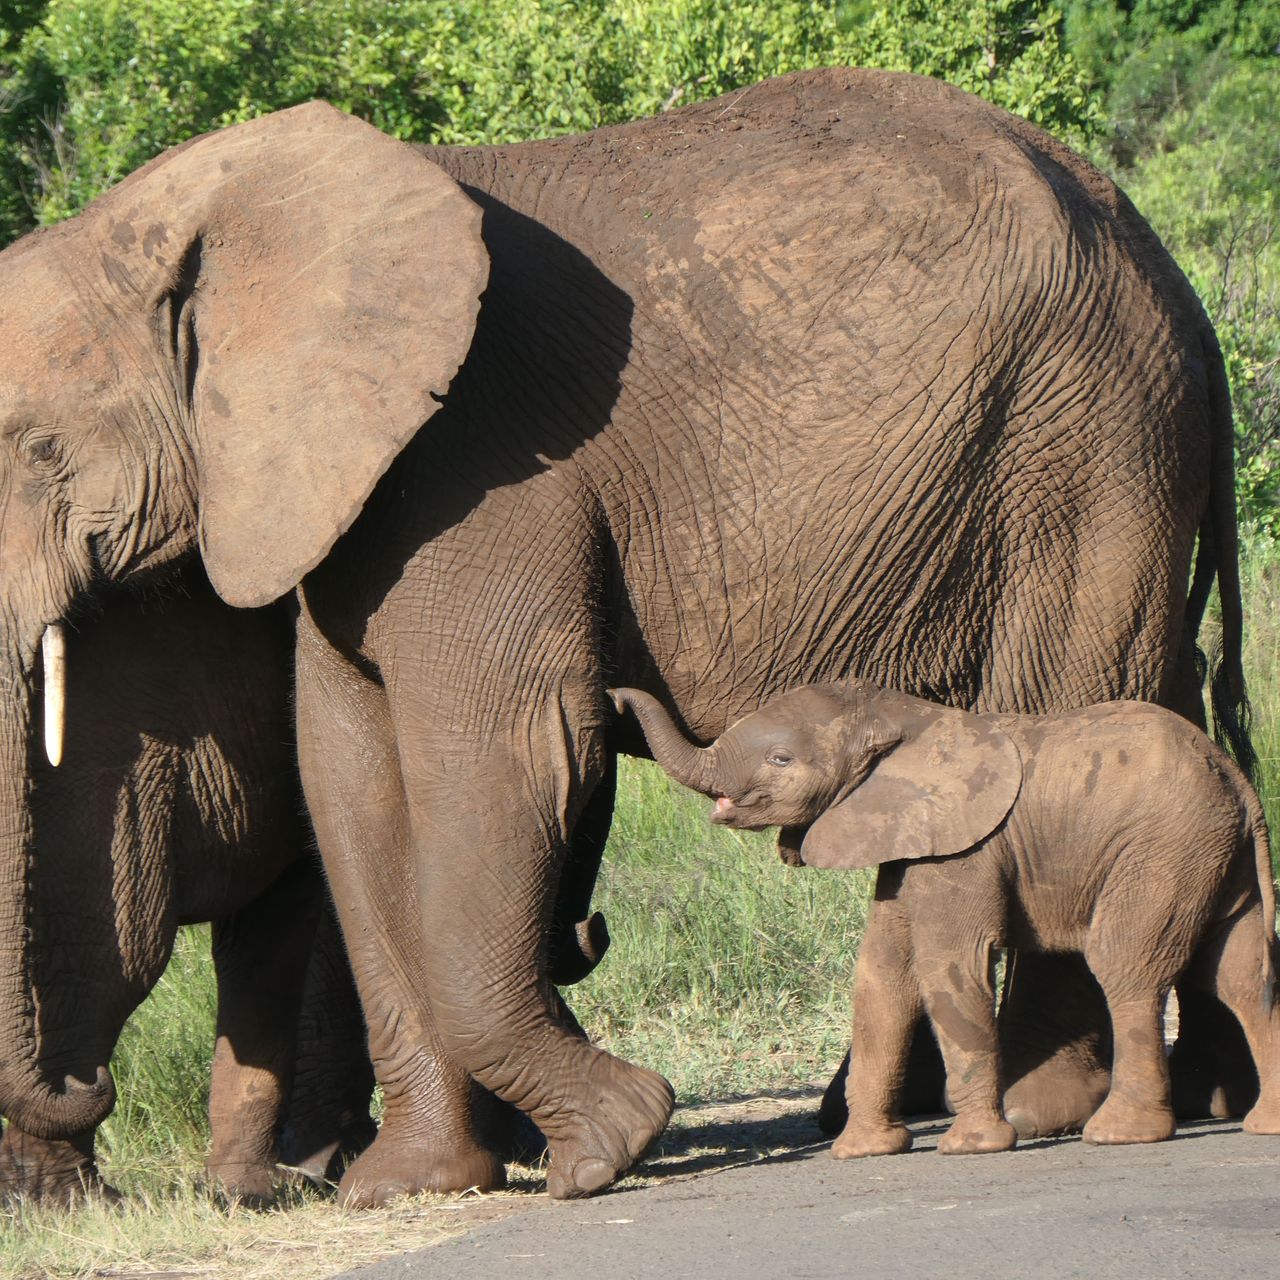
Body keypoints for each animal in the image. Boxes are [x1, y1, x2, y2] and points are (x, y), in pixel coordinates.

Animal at [612, 683, 1280, 1157]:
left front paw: (971, 1147)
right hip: (1214, 855)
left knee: (1127, 967)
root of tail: (1236, 776)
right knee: (1240, 978)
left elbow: (947, 966)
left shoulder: (965, 849)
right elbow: (880, 976)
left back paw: (1119, 1134)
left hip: (1164, 847)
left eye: (781, 759)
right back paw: (1265, 1126)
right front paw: (863, 1153)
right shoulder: (906, 841)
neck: (903, 715)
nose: (616, 696)